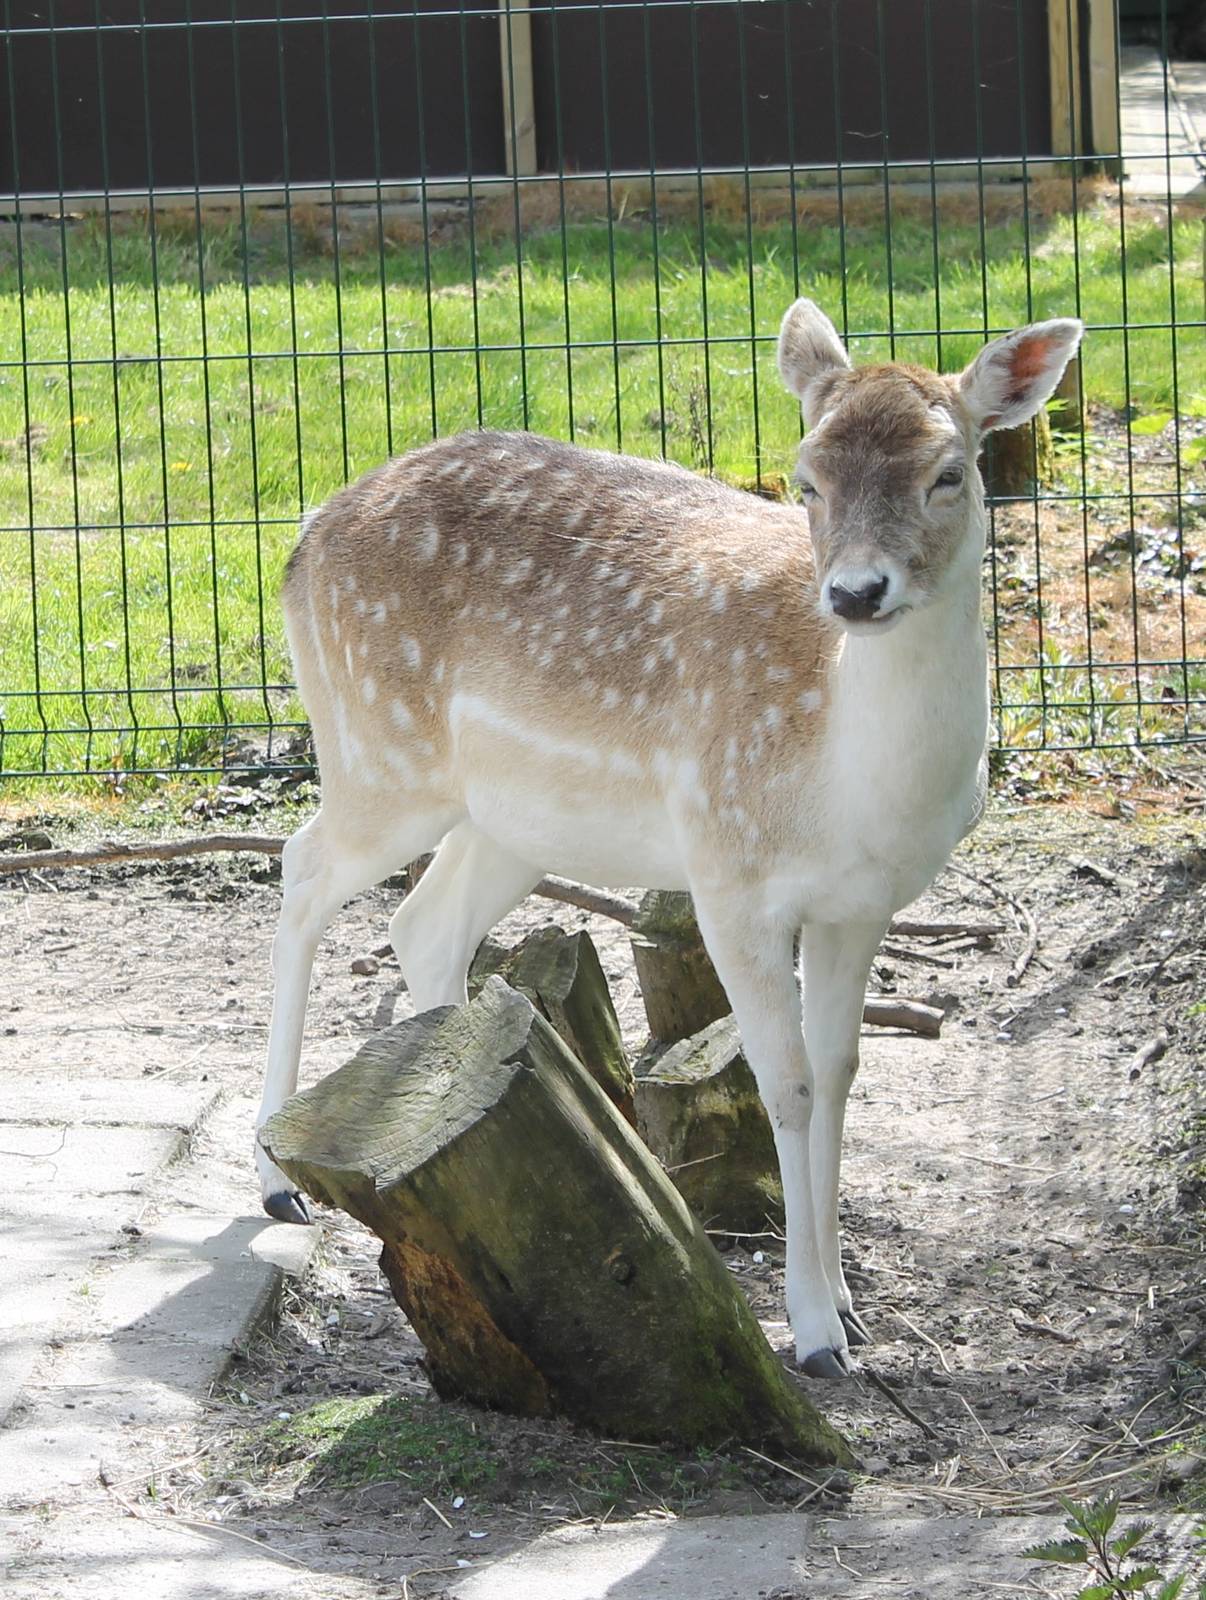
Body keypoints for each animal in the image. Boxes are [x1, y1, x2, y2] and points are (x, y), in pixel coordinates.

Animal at [255, 298, 1082, 1378]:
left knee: (424, 922)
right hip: (378, 752)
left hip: (512, 816)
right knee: (301, 867)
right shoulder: (728, 876)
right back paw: (274, 1178)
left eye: (950, 472)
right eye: (806, 475)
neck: (849, 784)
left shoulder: (863, 904)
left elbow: (842, 1073)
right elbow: (787, 1084)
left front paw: (847, 1303)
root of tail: (302, 540)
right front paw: (813, 1332)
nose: (856, 593)